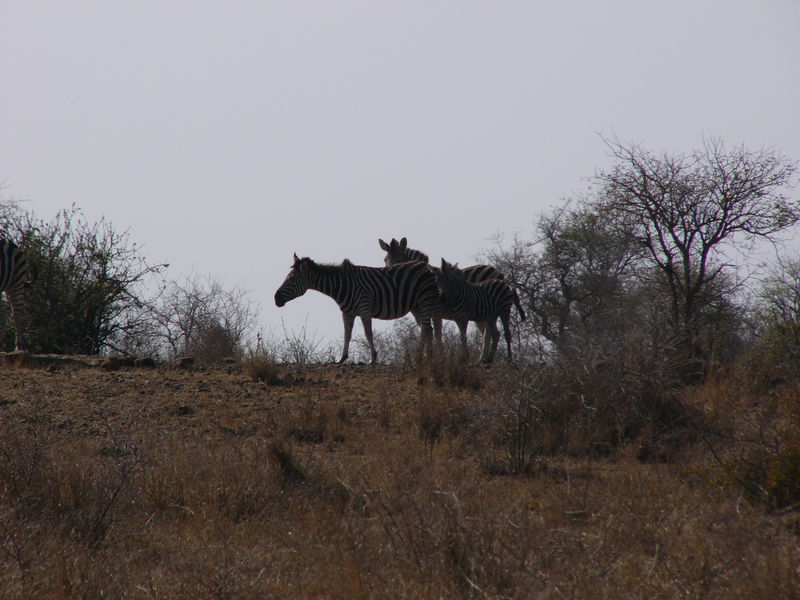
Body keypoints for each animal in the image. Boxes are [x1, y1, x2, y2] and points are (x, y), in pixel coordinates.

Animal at [274, 254, 438, 366]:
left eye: (291, 279)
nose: (275, 299)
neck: (341, 285)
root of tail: (426, 266)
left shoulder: (364, 308)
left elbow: (368, 333)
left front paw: (373, 358)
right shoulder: (347, 312)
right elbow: (347, 334)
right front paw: (341, 359)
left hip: (425, 300)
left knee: (425, 329)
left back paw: (421, 357)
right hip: (416, 306)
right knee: (428, 329)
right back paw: (428, 359)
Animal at [380, 237, 528, 350]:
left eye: (400, 260)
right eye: (385, 260)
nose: (392, 275)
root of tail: (499, 273)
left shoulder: (435, 312)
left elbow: (436, 335)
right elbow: (430, 333)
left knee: (489, 334)